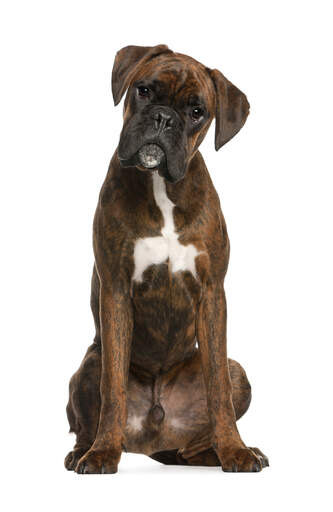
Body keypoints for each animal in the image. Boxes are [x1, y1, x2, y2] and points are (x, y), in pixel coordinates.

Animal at [64, 46, 268, 474]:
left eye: (197, 112)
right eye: (144, 90)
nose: (163, 118)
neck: (160, 186)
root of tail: (153, 439)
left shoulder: (212, 294)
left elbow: (219, 389)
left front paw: (236, 450)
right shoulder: (116, 292)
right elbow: (113, 388)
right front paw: (103, 453)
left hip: (236, 372)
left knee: (194, 440)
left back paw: (227, 452)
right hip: (89, 363)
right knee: (90, 412)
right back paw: (84, 452)